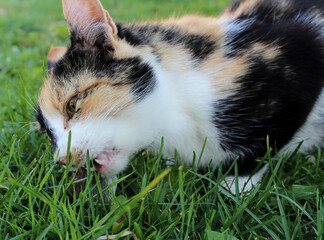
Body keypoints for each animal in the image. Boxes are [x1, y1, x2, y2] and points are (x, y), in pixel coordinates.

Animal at [35, 0, 324, 195]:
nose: (61, 160)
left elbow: (262, 146)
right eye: (48, 135)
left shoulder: (302, 54)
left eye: (72, 105)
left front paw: (232, 190)